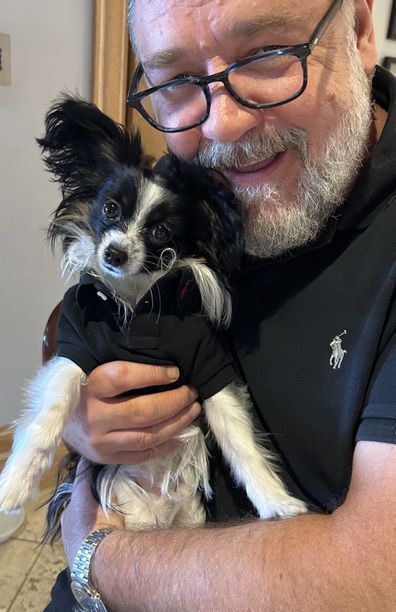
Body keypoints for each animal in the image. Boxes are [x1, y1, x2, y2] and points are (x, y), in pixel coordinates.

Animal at [0, 94, 306, 532]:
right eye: (110, 209)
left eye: (161, 232)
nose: (114, 253)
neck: (135, 301)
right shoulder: (75, 352)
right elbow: (50, 410)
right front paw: (15, 483)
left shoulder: (211, 369)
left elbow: (240, 441)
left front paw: (275, 501)